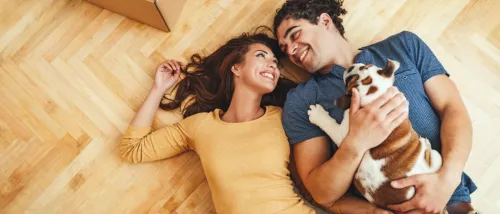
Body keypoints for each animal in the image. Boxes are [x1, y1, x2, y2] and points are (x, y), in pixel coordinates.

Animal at [306, 59, 444, 208]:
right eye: (366, 66)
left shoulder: (345, 135)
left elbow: (329, 124)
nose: (350, 68)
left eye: (349, 81)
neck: (376, 97)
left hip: (437, 158)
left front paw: (317, 114)